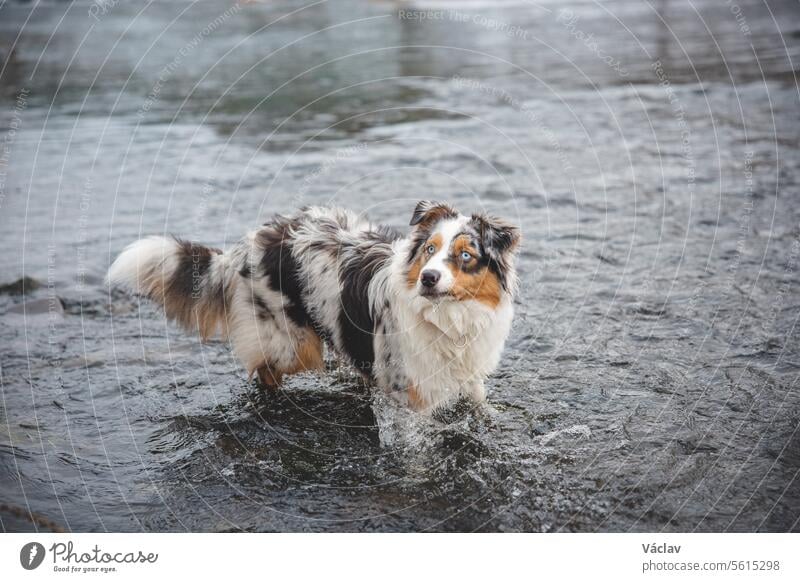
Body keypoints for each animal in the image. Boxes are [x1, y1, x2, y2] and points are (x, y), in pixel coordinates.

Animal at [108, 203, 520, 412]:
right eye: (430, 250)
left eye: (465, 256)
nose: (428, 278)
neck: (450, 319)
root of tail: (245, 245)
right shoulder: (408, 396)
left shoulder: (469, 378)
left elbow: (480, 407)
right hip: (293, 344)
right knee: (265, 371)